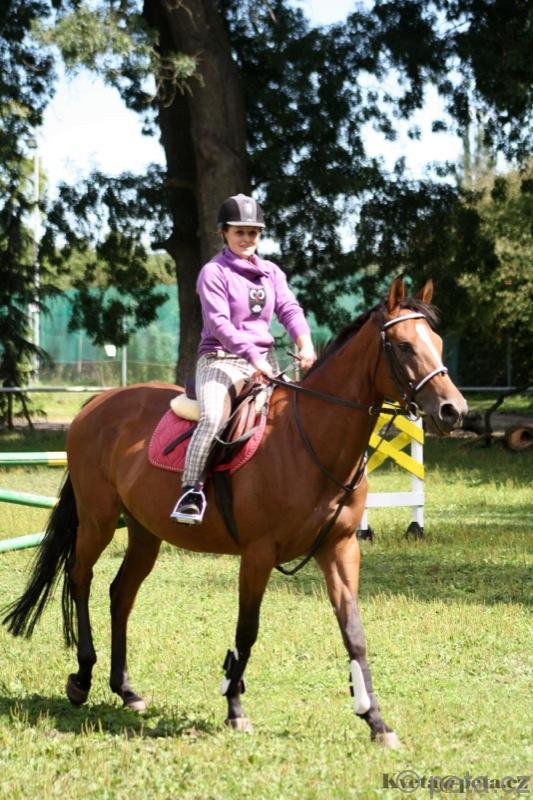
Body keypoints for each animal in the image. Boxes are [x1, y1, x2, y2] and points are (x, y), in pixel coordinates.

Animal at [2, 276, 467, 747]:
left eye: (438, 343)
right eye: (405, 346)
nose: (454, 410)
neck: (311, 440)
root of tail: (98, 403)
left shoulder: (339, 550)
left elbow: (354, 633)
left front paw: (375, 721)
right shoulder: (258, 555)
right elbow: (248, 629)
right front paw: (235, 708)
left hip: (144, 531)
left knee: (122, 593)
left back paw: (126, 689)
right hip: (97, 520)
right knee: (81, 579)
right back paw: (81, 678)